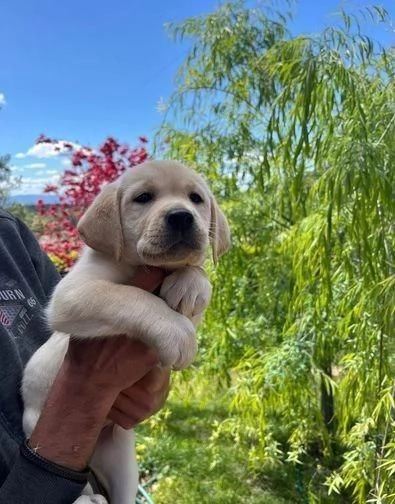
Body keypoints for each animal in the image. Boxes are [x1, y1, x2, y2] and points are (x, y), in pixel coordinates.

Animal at [21, 160, 230, 504]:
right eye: (143, 198)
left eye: (196, 199)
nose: (181, 216)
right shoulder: (71, 295)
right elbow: (129, 296)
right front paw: (176, 333)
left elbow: (195, 275)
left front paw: (192, 284)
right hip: (36, 425)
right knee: (81, 484)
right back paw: (87, 499)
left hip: (122, 461)